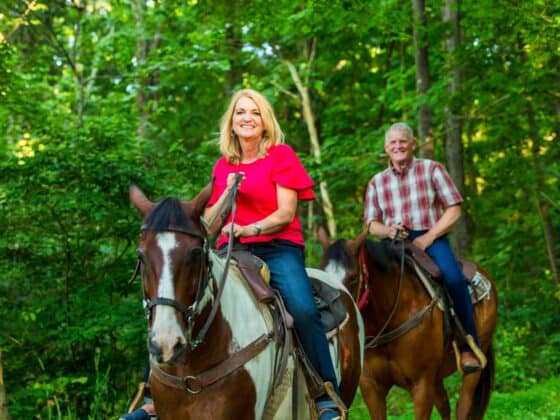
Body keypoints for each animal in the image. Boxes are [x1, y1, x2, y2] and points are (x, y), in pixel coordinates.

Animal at [320, 230, 498, 420]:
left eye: (353, 278)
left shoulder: (422, 386)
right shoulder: (371, 387)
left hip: (476, 359)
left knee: (463, 406)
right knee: (444, 404)